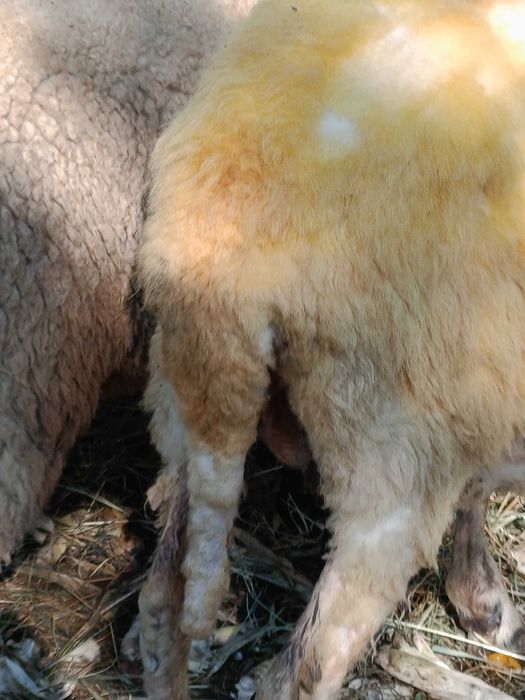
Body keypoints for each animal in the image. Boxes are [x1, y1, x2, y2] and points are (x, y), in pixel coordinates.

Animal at [138, 0, 525, 696]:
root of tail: (218, 252)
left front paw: (482, 602)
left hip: (180, 400)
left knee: (160, 606)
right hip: (391, 458)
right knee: (306, 668)